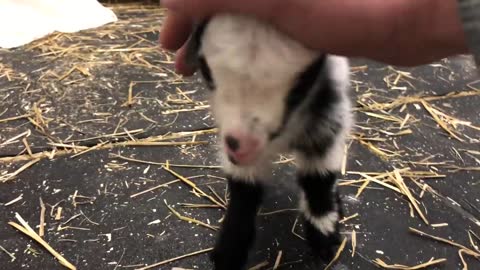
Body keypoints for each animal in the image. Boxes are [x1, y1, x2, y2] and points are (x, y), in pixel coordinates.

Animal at [186, 14, 350, 270]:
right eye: (205, 70)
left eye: (302, 84)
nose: (241, 147)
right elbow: (243, 188)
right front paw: (230, 250)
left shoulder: (328, 119)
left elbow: (319, 177)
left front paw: (323, 235)